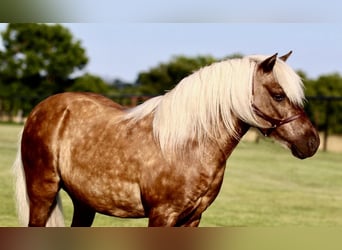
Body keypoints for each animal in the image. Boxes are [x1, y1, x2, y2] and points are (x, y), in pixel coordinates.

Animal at [12, 52, 318, 227]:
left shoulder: (192, 218)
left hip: (85, 203)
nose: (312, 142)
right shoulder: (162, 215)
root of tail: (41, 108)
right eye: (278, 95)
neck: (188, 147)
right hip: (42, 193)